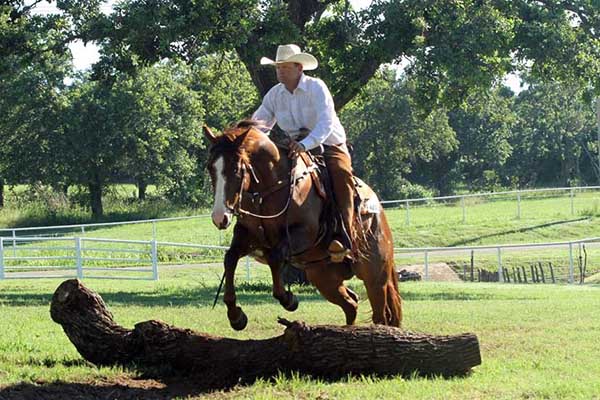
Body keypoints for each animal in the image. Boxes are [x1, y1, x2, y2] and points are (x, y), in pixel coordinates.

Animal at [203, 120, 404, 330]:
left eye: (236, 168)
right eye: (210, 167)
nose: (219, 217)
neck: (271, 188)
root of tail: (378, 210)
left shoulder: (304, 233)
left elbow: (275, 257)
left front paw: (288, 299)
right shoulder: (246, 235)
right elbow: (230, 258)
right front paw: (236, 316)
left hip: (374, 276)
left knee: (380, 314)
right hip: (323, 277)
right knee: (351, 304)